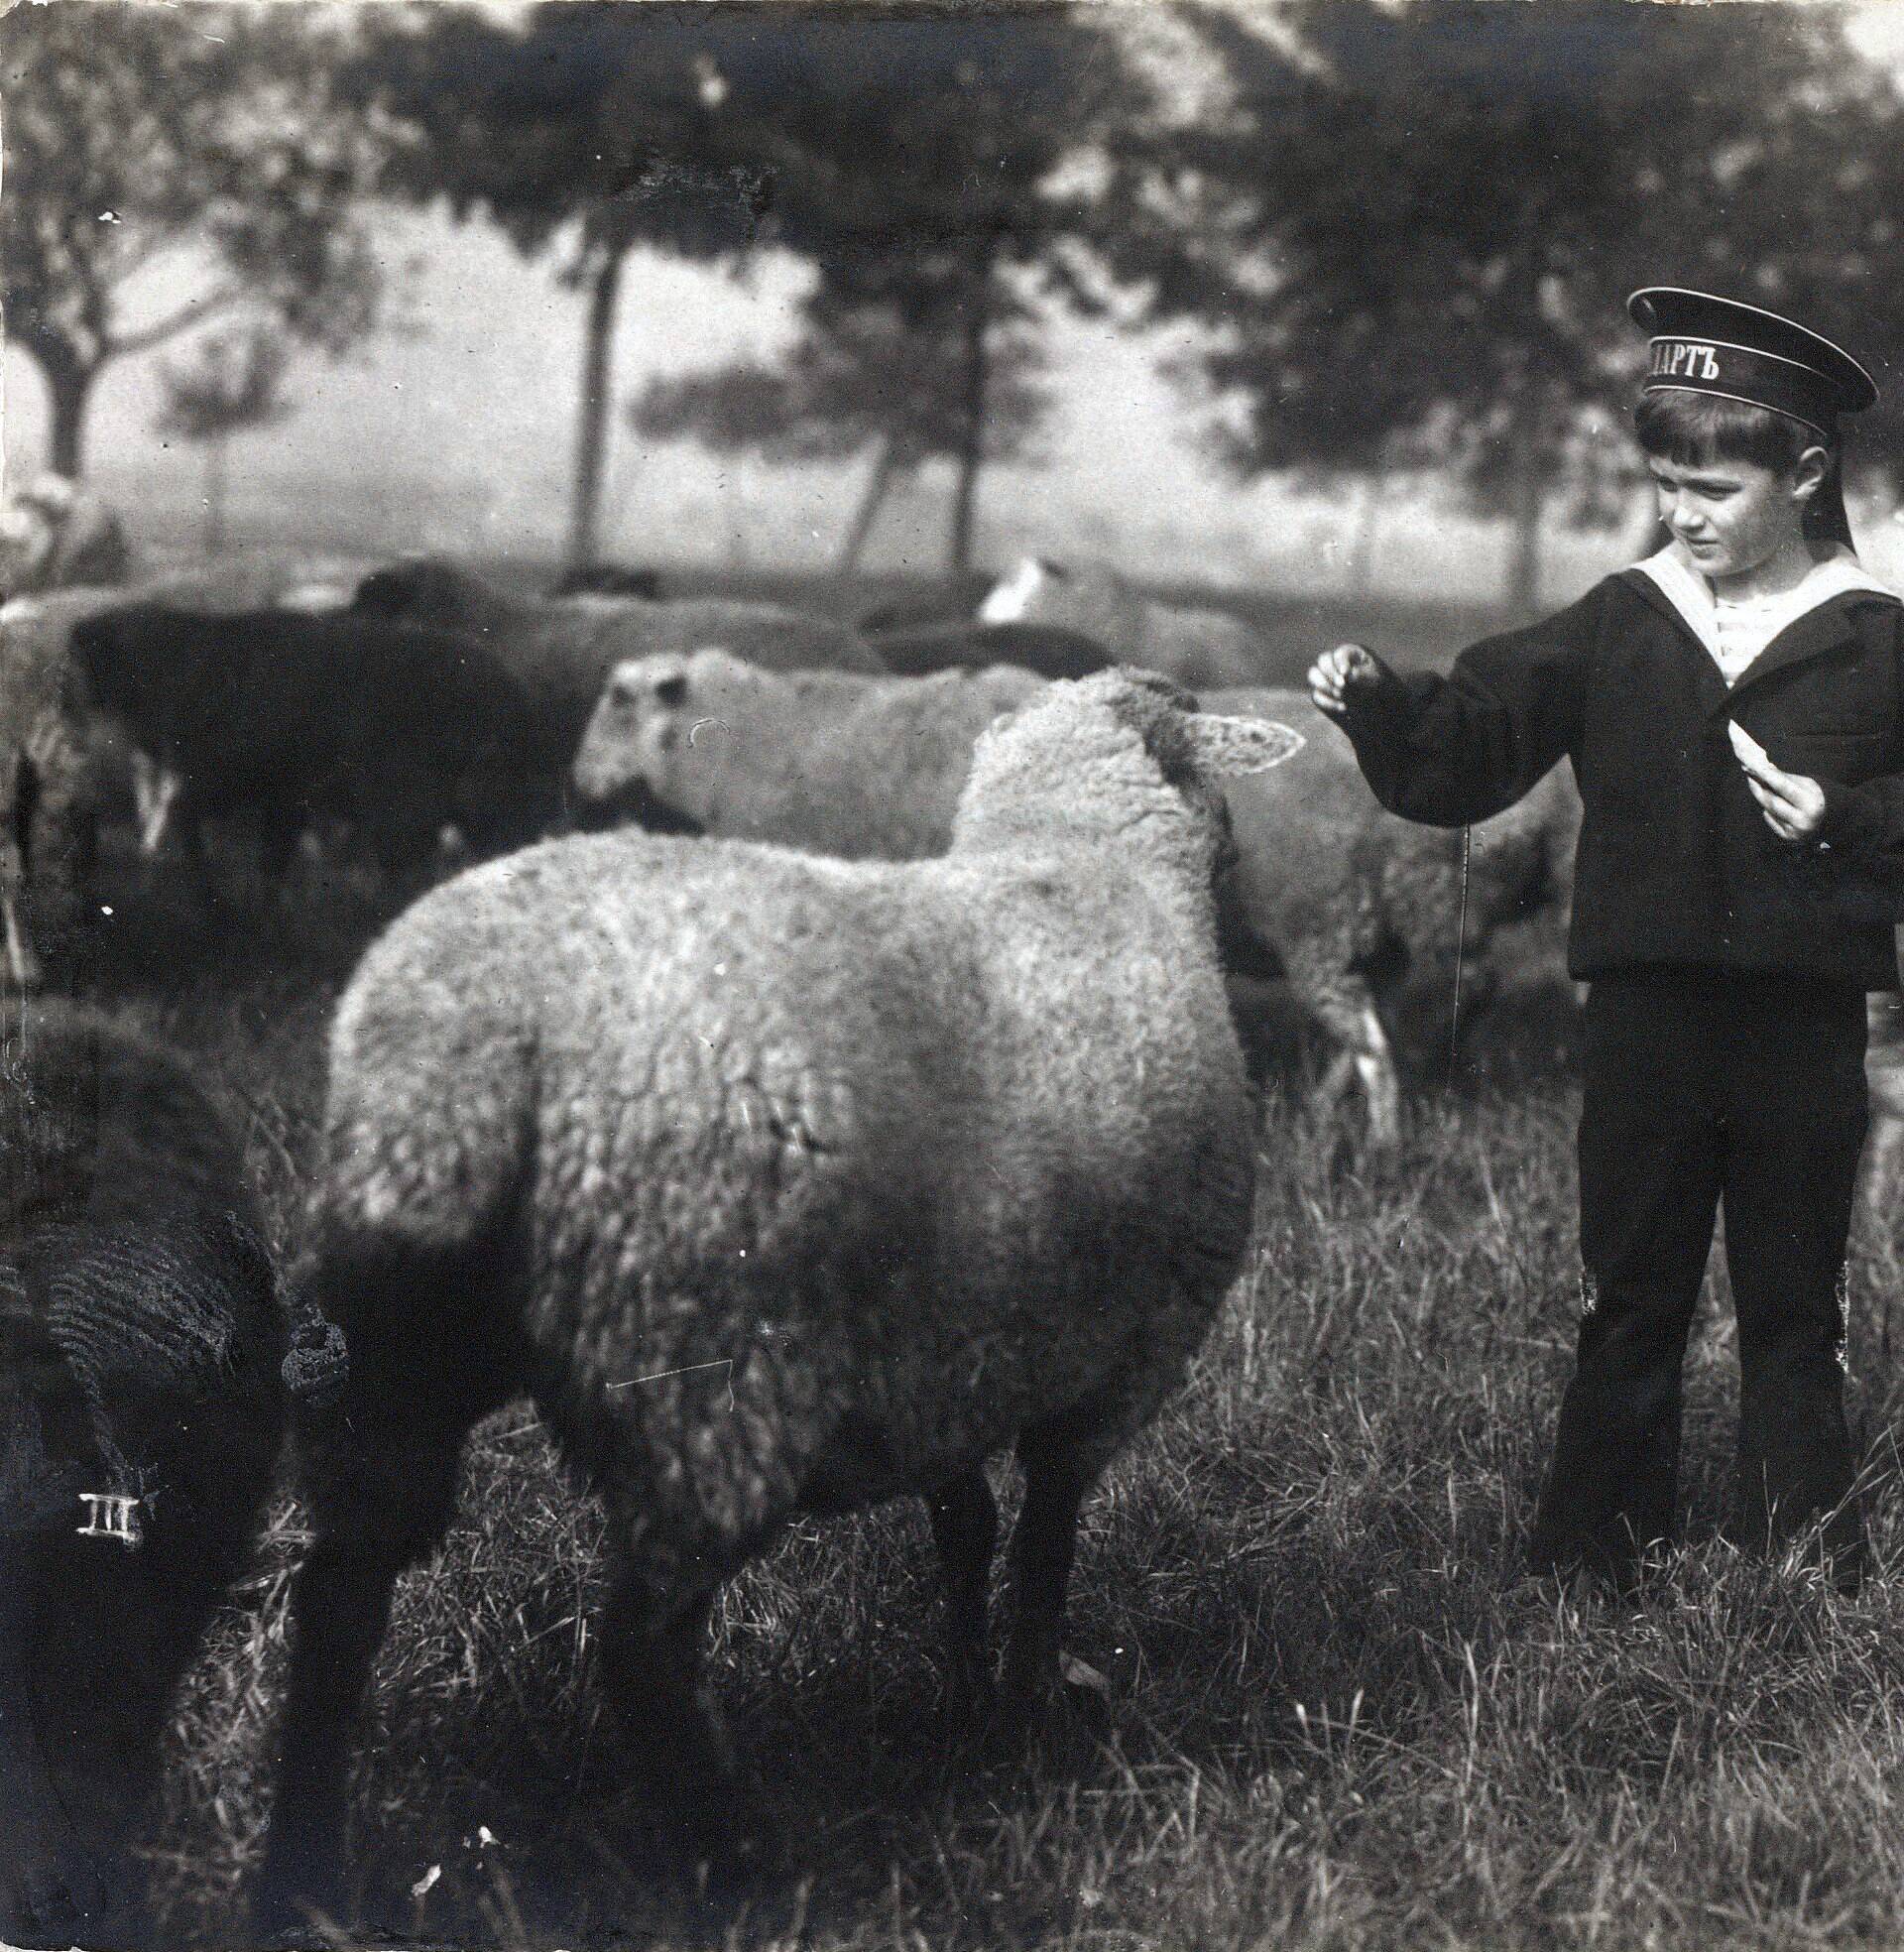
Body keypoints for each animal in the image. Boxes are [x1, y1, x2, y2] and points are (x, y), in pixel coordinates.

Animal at [253, 671, 1303, 1936]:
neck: (1076, 856)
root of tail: (470, 1044)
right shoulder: (1114, 1364)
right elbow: (1045, 1547)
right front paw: (1025, 1712)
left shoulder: (942, 1350)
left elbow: (966, 1526)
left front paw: (963, 1692)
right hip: (712, 1369)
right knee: (639, 1649)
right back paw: (750, 1864)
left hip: (388, 1344)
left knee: (337, 1601)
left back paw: (300, 1877)